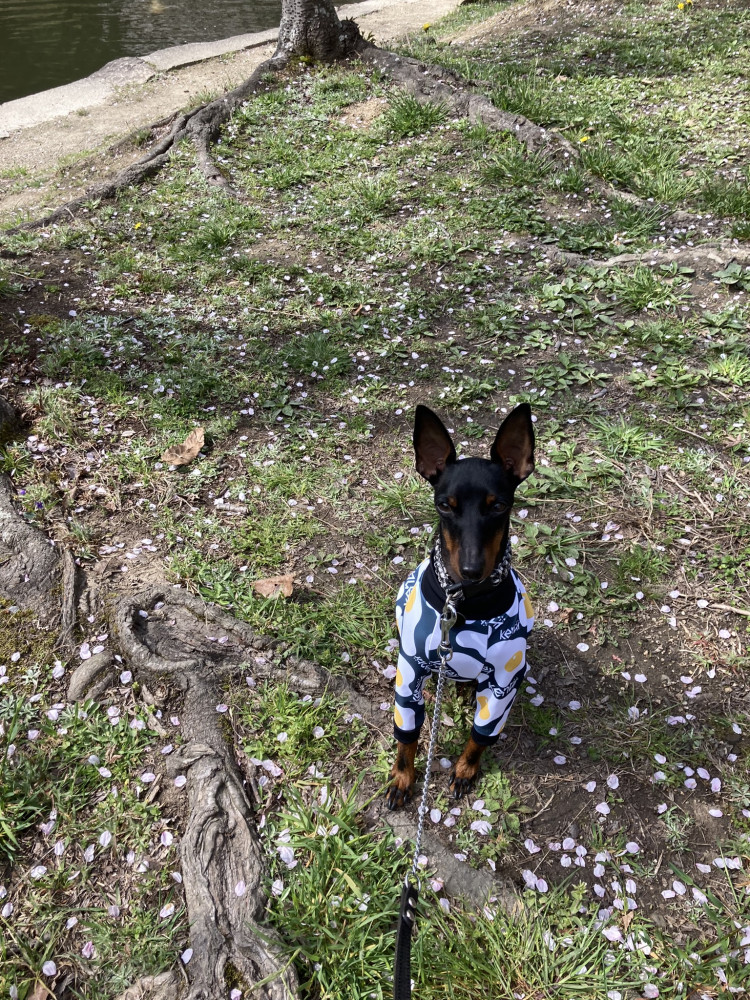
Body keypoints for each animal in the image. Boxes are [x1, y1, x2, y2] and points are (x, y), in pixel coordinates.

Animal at [388, 402, 536, 808]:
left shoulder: (505, 681)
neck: (462, 602)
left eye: (499, 506)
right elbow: (406, 737)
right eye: (444, 505)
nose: (471, 570)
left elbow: (480, 736)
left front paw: (466, 769)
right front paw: (402, 777)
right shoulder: (410, 673)